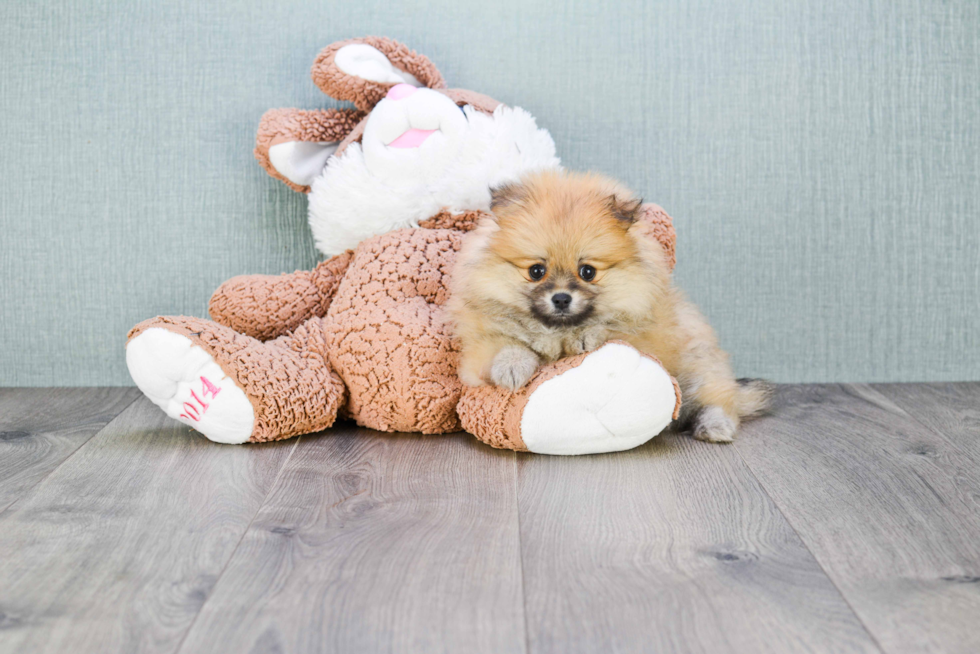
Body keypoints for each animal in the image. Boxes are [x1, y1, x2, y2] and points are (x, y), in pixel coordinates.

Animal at [448, 172, 768, 444]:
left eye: (587, 272)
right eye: (536, 271)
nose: (561, 298)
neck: (557, 333)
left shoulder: (645, 339)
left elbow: (610, 330)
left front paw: (586, 336)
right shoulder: (478, 350)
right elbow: (506, 345)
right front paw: (513, 366)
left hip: (699, 368)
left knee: (720, 400)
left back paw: (715, 427)